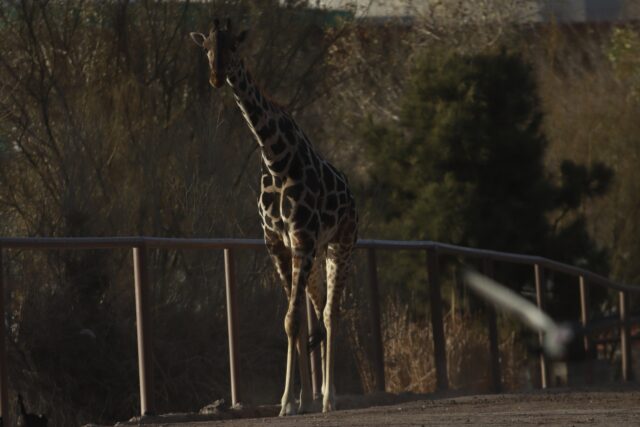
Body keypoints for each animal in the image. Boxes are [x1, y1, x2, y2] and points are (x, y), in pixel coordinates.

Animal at [190, 20, 358, 415]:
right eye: (206, 47)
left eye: (234, 46)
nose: (217, 77)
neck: (276, 159)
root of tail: (352, 195)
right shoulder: (277, 243)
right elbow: (290, 321)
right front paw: (294, 401)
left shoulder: (303, 239)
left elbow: (294, 319)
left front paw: (289, 402)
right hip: (316, 253)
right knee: (318, 310)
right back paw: (317, 395)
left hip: (340, 244)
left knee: (332, 313)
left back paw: (330, 397)